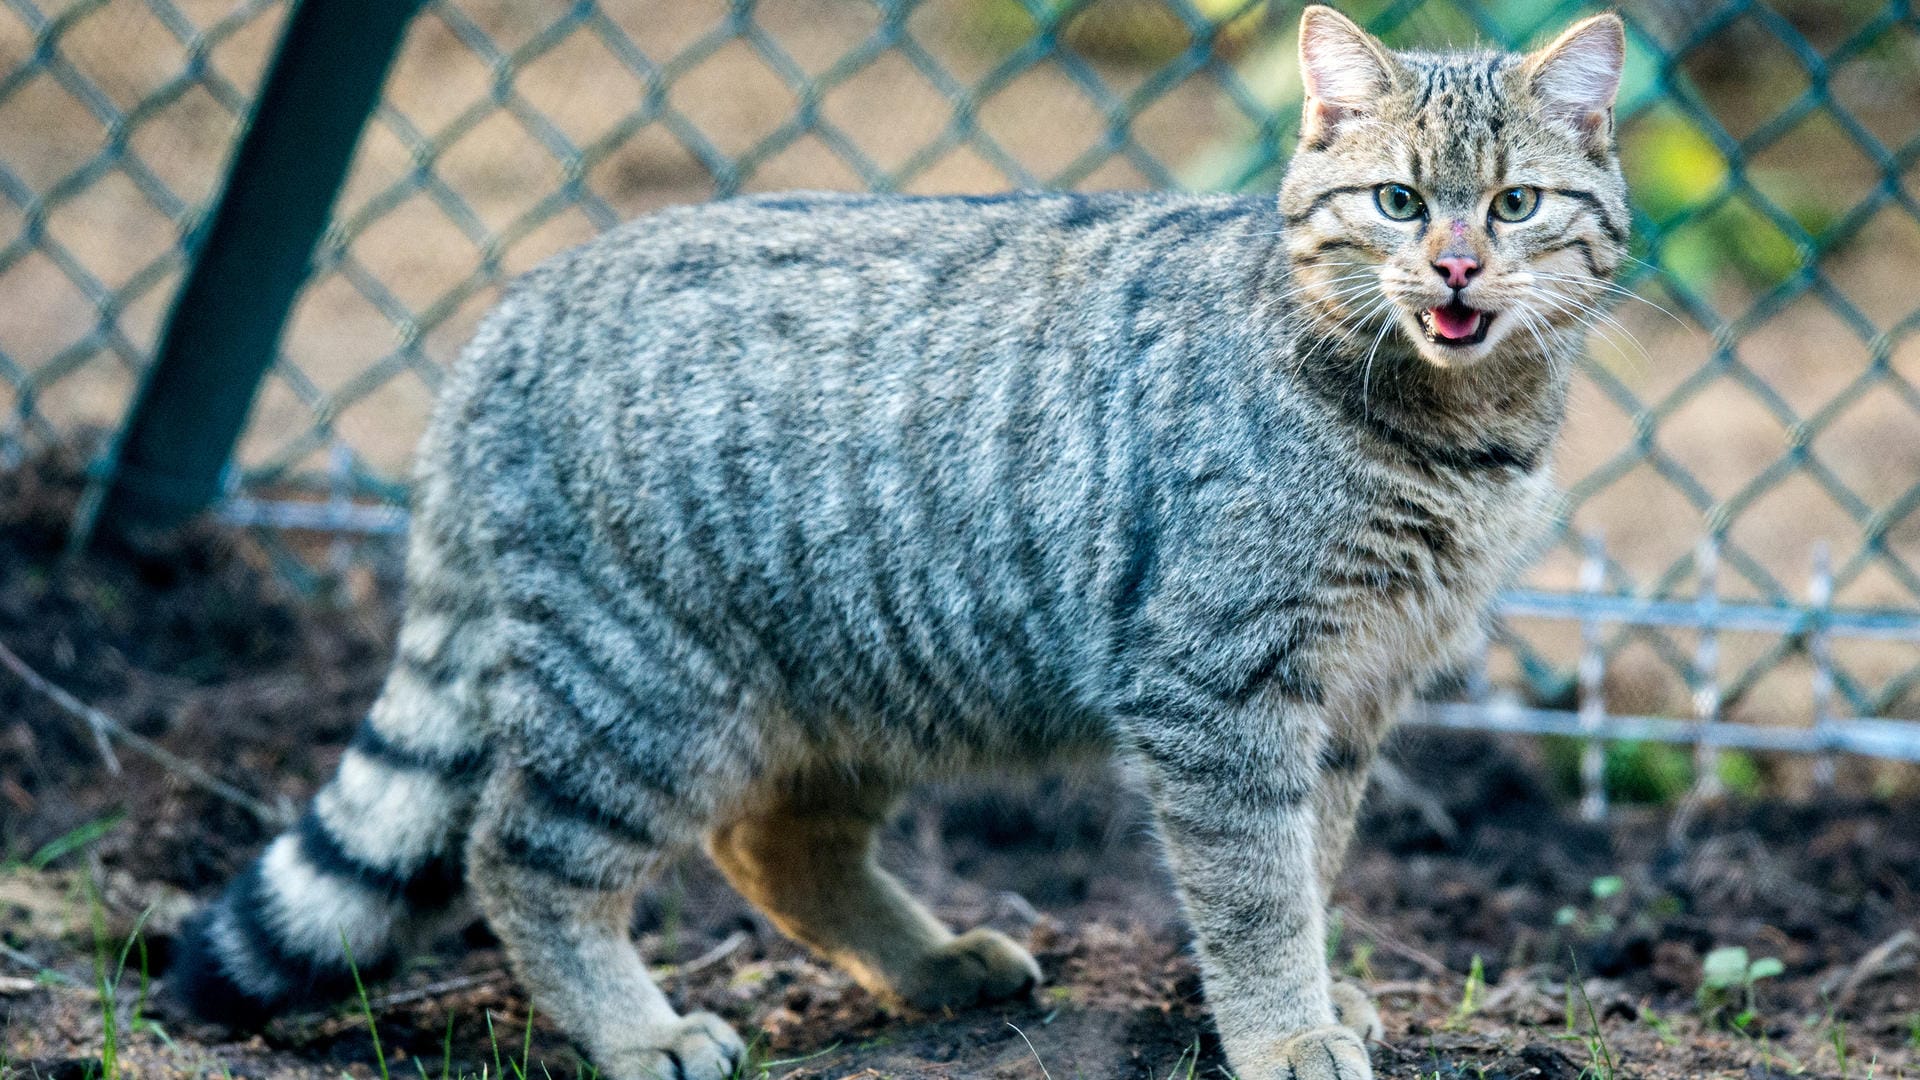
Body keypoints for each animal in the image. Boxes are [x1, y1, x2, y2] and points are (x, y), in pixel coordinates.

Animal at [176, 8, 1620, 1076]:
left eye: (1515, 206)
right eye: (1396, 201)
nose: (1455, 268)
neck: (1453, 434)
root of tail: (512, 312)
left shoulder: (1353, 691)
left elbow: (1309, 861)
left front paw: (1321, 999)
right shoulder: (1221, 684)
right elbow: (1257, 888)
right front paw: (1287, 1033)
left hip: (864, 671)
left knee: (771, 845)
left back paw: (933, 964)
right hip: (647, 689)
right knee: (520, 854)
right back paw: (640, 1032)